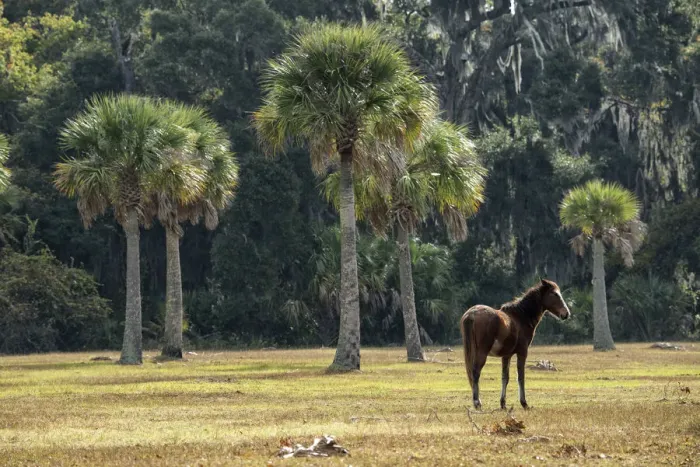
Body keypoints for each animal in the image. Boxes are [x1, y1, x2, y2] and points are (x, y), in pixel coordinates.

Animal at [460, 279, 571, 410]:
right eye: (555, 294)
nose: (566, 313)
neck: (521, 317)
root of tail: (471, 314)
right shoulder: (522, 352)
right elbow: (520, 377)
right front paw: (524, 403)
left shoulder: (506, 355)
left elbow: (505, 378)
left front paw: (503, 404)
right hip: (482, 352)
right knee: (476, 372)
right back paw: (477, 403)